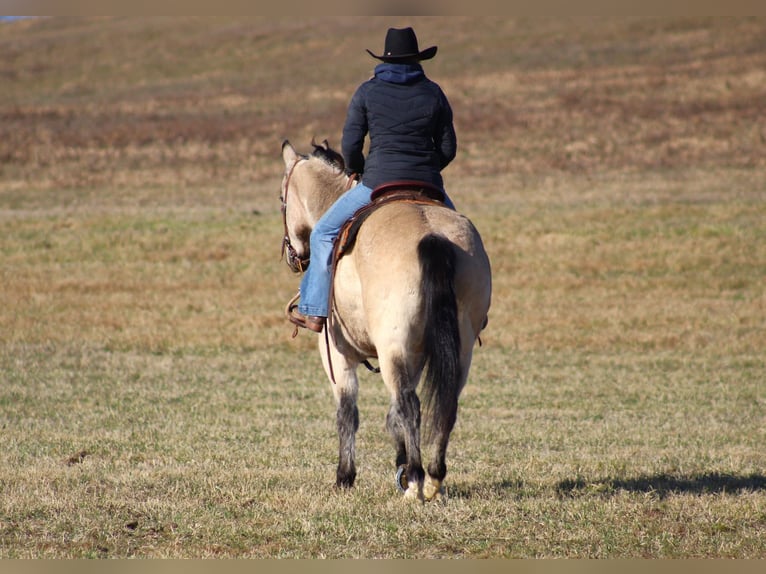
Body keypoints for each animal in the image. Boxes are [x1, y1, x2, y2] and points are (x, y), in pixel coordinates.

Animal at [280, 141, 492, 504]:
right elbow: (392, 414)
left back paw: (417, 483)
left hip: (393, 346)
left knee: (411, 406)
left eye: (282, 198)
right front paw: (400, 465)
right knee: (444, 405)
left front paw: (345, 477)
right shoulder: (415, 355)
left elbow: (348, 412)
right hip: (458, 349)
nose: (294, 257)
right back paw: (433, 479)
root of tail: (432, 236)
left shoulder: (336, 353)